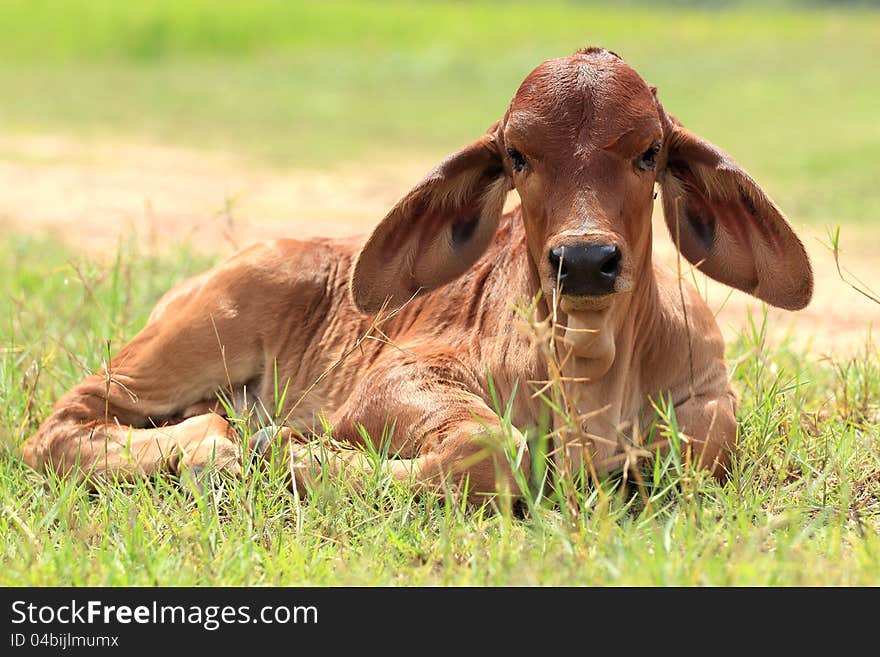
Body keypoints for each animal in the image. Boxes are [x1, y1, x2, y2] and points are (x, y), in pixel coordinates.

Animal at [22, 48, 820, 500]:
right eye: (518, 155)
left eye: (649, 150)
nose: (587, 261)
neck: (591, 367)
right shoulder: (396, 380)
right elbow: (491, 447)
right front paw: (291, 453)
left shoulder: (710, 399)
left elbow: (699, 444)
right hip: (187, 340)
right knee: (58, 428)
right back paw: (211, 444)